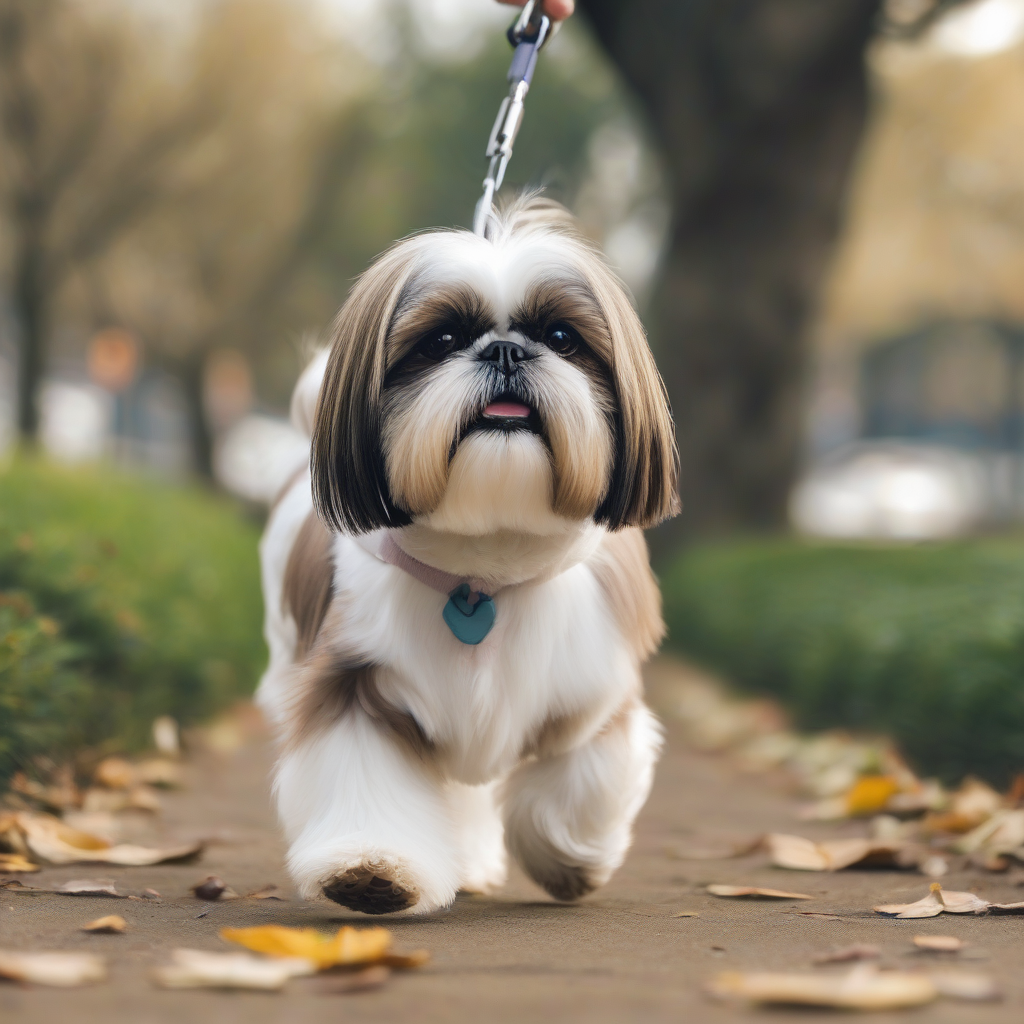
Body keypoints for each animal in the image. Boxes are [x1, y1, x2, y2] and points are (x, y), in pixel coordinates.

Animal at [256, 195, 675, 917]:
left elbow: (580, 777)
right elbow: (363, 774)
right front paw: (371, 869)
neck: (485, 571)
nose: (506, 349)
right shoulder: (355, 680)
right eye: (441, 342)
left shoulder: (593, 686)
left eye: (561, 337)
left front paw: (569, 859)